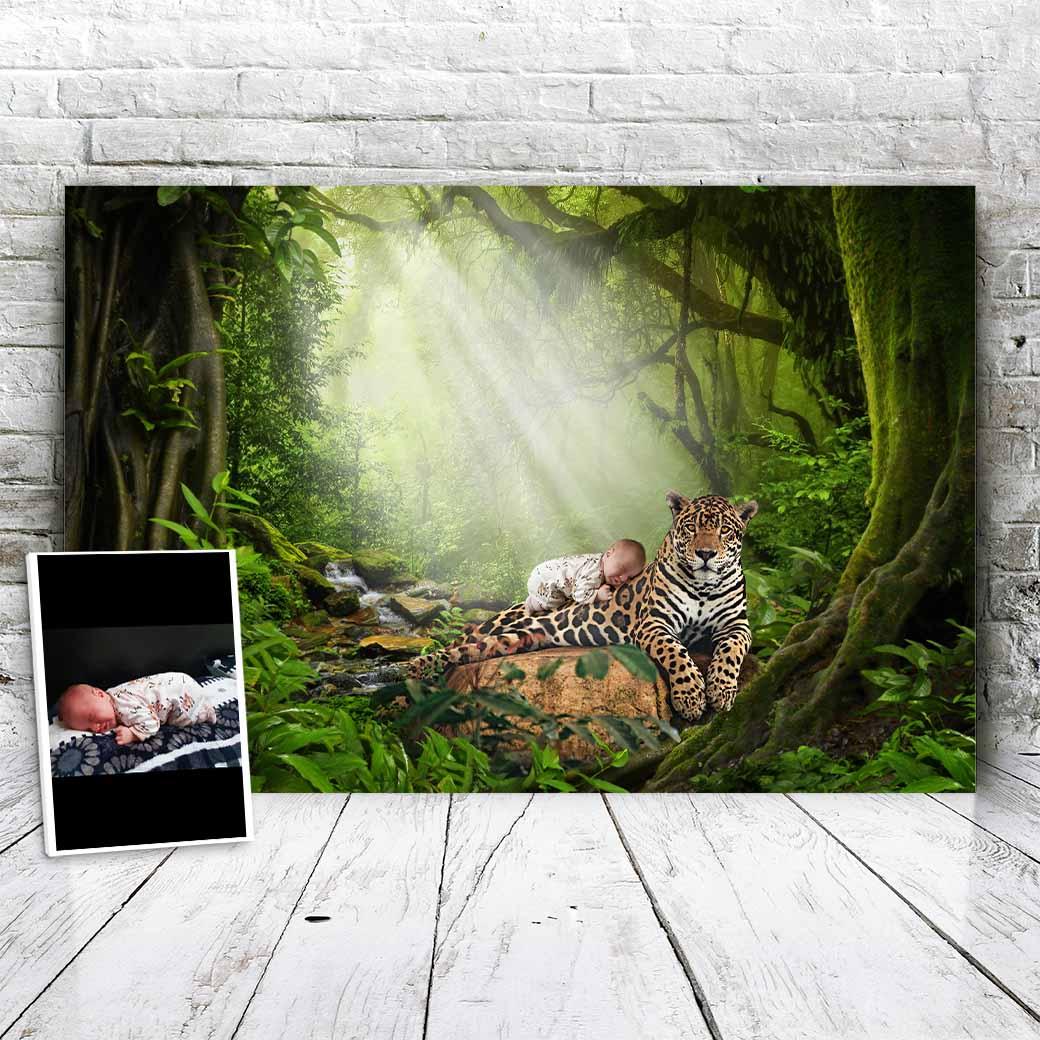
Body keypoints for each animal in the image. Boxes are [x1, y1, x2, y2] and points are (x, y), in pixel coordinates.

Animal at [407, 492, 759, 722]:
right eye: (691, 528)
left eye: (725, 531)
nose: (705, 554)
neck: (704, 587)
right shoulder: (654, 624)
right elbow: (675, 654)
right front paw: (690, 697)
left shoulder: (737, 625)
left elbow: (731, 651)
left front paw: (721, 690)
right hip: (496, 624)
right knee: (452, 646)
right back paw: (411, 669)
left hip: (518, 639)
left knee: (466, 652)